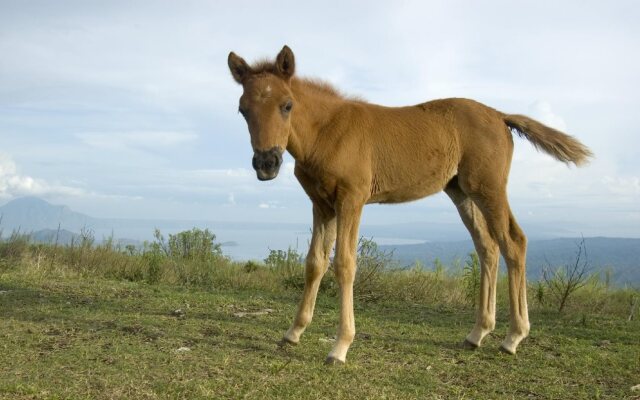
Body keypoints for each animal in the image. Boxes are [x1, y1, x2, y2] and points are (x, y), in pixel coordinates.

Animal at [228, 45, 592, 364]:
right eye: (243, 110)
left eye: (287, 105)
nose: (267, 163)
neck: (326, 132)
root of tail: (501, 116)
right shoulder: (322, 204)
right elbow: (315, 262)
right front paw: (293, 333)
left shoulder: (352, 199)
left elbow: (344, 264)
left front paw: (340, 347)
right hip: (462, 192)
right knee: (487, 246)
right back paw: (477, 334)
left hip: (489, 188)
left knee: (513, 242)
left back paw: (513, 337)